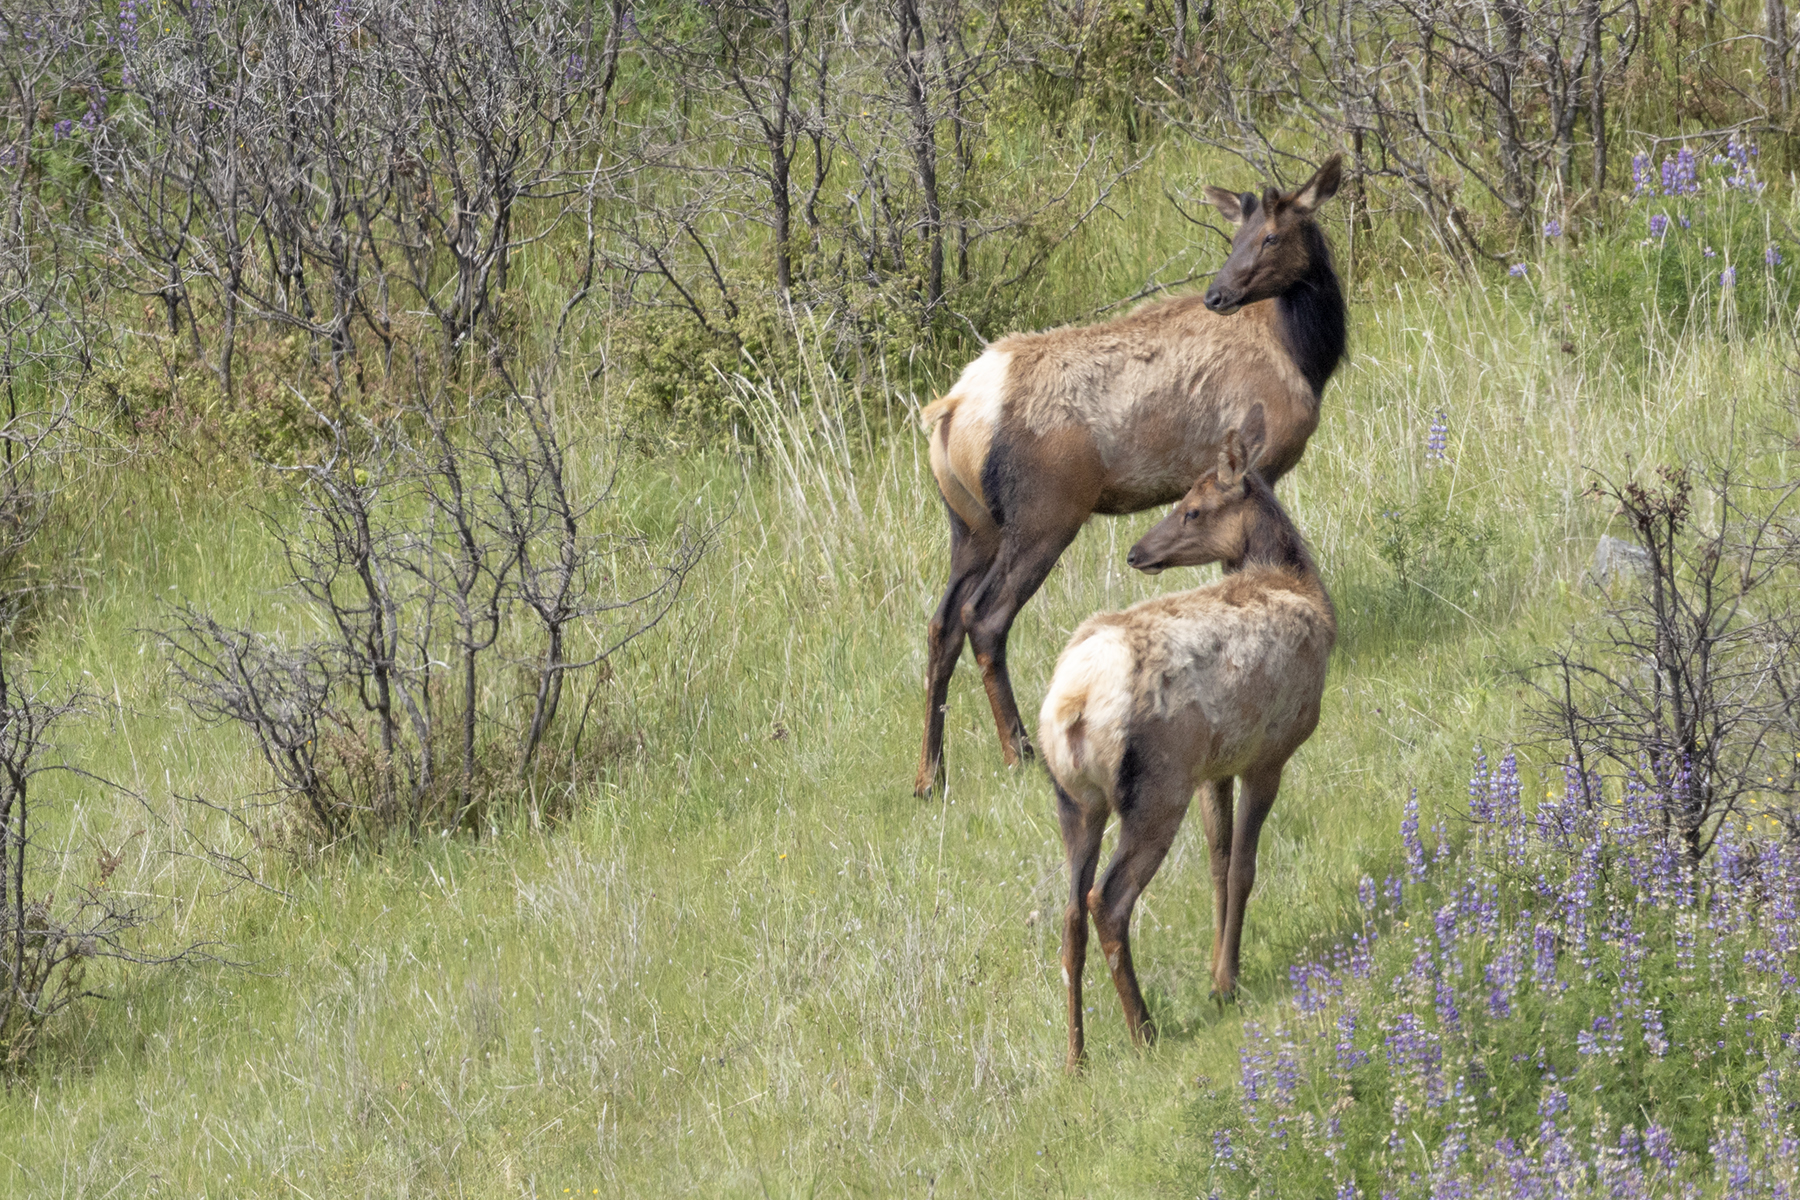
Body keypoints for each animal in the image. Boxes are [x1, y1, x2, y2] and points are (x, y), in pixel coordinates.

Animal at [915, 154, 1346, 797]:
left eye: (1269, 235)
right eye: (1239, 235)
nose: (1219, 294)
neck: (1303, 353)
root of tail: (949, 413)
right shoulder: (1259, 463)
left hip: (970, 526)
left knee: (941, 624)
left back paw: (930, 774)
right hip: (1044, 514)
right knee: (983, 619)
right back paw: (1019, 752)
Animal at [1037, 408, 1336, 1068]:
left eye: (1191, 509)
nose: (1137, 551)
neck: (1301, 588)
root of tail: (1071, 706)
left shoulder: (1213, 767)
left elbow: (1217, 863)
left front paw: (1217, 970)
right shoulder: (1268, 751)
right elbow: (1244, 865)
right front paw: (1226, 981)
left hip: (1075, 799)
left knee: (1068, 912)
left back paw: (1075, 1057)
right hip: (1156, 783)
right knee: (1107, 901)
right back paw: (1144, 1032)